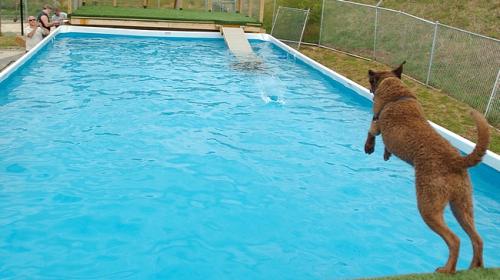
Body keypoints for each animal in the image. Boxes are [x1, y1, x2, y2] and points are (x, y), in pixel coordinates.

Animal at [364, 61, 488, 274]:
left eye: (373, 79)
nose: (369, 72)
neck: (395, 91)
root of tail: (456, 160)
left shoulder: (376, 122)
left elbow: (371, 132)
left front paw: (369, 147)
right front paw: (386, 153)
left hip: (428, 206)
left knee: (454, 240)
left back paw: (447, 270)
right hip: (462, 206)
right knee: (477, 239)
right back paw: (474, 268)